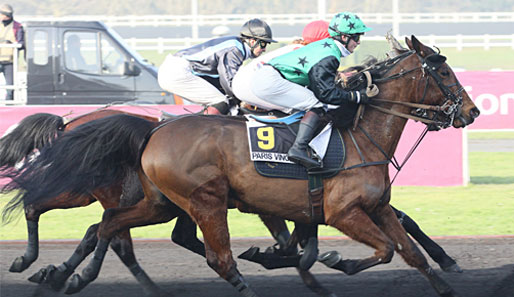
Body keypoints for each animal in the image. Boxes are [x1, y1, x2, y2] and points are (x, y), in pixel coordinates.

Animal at [2, 35, 478, 294]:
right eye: (444, 73)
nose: (471, 112)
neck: (360, 133)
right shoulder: (341, 211)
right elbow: (382, 248)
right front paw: (330, 262)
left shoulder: (361, 208)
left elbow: (407, 248)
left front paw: (445, 276)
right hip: (183, 198)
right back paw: (37, 262)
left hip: (158, 202)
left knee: (108, 229)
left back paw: (65, 274)